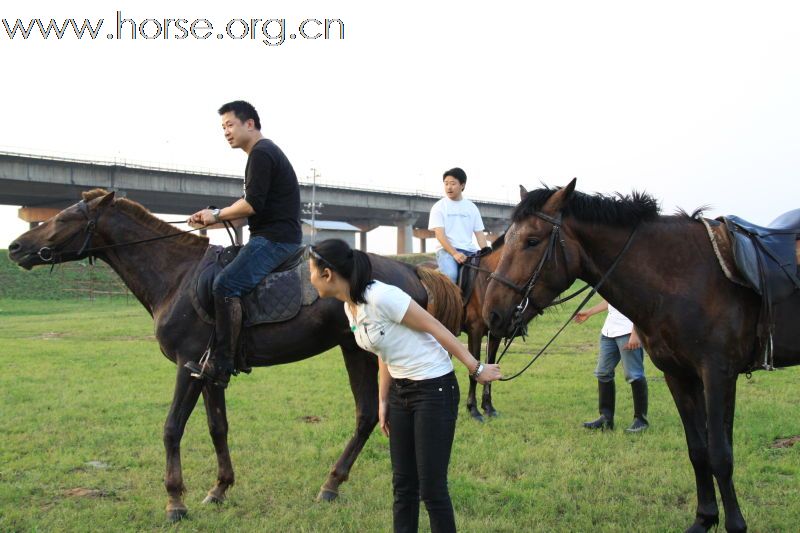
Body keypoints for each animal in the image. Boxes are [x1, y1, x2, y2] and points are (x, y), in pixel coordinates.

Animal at [7, 190, 462, 520]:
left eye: (62, 219)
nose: (14, 247)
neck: (177, 276)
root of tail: (412, 271)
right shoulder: (211, 370)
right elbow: (217, 427)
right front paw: (219, 488)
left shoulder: (188, 365)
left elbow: (172, 427)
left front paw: (175, 500)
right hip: (358, 348)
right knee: (368, 414)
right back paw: (332, 483)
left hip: (370, 351)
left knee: (371, 413)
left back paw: (332, 482)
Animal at [482, 180, 800, 532]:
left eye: (532, 241)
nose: (492, 314)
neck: (684, 276)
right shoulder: (679, 375)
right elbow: (698, 450)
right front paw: (704, 518)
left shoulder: (719, 374)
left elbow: (720, 454)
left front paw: (735, 525)